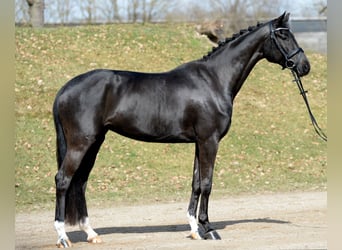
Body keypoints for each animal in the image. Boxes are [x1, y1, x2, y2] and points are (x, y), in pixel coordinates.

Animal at [52, 12, 310, 247]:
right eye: (284, 35)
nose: (304, 66)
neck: (214, 80)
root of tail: (66, 89)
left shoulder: (199, 142)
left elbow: (196, 183)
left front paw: (195, 229)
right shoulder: (209, 141)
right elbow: (207, 183)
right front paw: (209, 228)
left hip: (95, 142)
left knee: (80, 182)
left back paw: (91, 233)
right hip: (81, 143)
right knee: (63, 180)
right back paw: (63, 237)